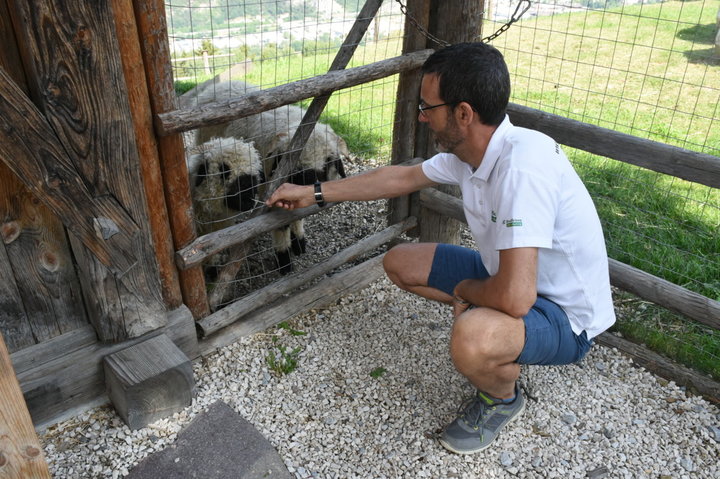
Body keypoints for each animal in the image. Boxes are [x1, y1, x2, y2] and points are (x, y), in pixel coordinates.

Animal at [187, 79, 350, 274]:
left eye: (328, 161)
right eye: (296, 163)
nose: (313, 185)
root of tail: (222, 84)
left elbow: (297, 215)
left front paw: (298, 242)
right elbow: (281, 224)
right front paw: (285, 260)